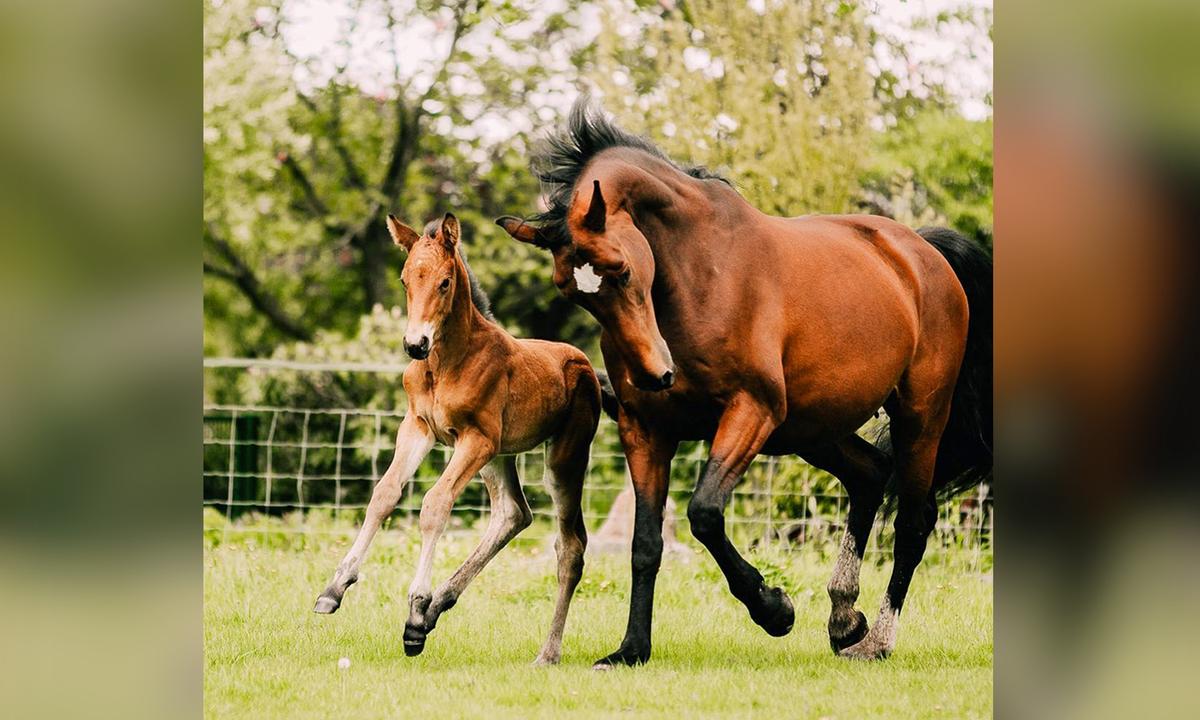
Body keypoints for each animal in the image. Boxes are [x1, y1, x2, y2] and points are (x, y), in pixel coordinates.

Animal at [313, 212, 602, 665]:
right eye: (404, 280)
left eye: (445, 282)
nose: (415, 344)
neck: (445, 362)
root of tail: (587, 365)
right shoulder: (417, 426)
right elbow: (385, 493)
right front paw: (334, 588)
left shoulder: (475, 439)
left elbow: (435, 504)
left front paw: (415, 608)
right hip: (499, 457)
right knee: (513, 514)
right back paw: (438, 607)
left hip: (560, 458)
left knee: (570, 547)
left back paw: (546, 652)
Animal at [498, 100, 992, 666]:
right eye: (570, 291)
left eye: (620, 270)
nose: (654, 375)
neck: (697, 273)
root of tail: (923, 253)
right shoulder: (646, 430)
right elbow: (645, 544)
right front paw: (630, 649)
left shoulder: (750, 411)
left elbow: (704, 514)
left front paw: (774, 609)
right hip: (810, 430)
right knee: (869, 474)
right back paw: (845, 619)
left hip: (919, 417)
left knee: (914, 520)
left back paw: (877, 640)